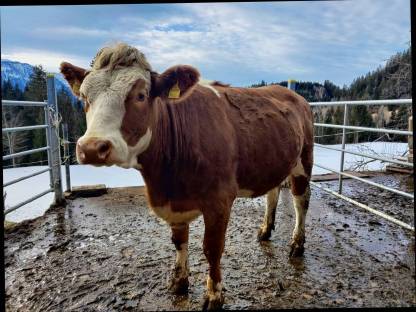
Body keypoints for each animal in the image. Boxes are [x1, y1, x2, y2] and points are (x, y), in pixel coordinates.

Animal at [60, 43, 314, 310]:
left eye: (141, 96)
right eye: (84, 98)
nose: (91, 147)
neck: (165, 180)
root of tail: (289, 92)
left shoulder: (220, 200)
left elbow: (212, 249)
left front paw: (214, 296)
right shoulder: (175, 201)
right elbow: (179, 241)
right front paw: (179, 281)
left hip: (304, 159)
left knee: (301, 201)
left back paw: (297, 244)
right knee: (272, 192)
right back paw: (265, 230)